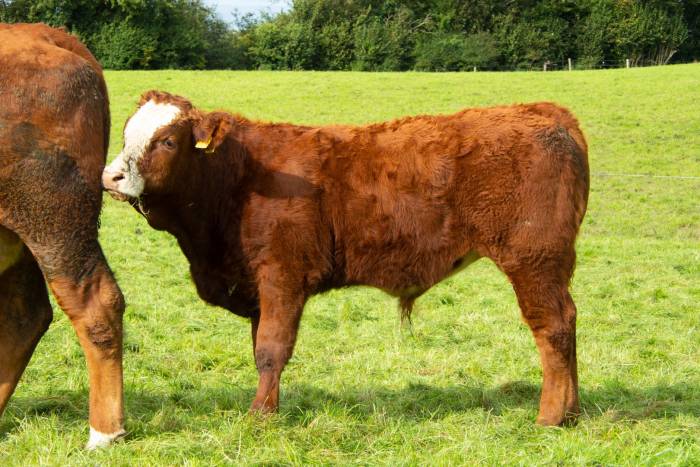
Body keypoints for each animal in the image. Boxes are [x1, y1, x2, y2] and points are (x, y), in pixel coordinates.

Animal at [103, 90, 589, 427]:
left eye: (167, 140)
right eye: (125, 134)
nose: (111, 176)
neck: (236, 179)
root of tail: (543, 111)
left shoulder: (283, 275)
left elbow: (271, 350)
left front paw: (259, 417)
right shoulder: (260, 289)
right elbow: (260, 349)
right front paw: (269, 407)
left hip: (533, 261)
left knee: (553, 329)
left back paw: (551, 416)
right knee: (568, 323)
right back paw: (573, 412)